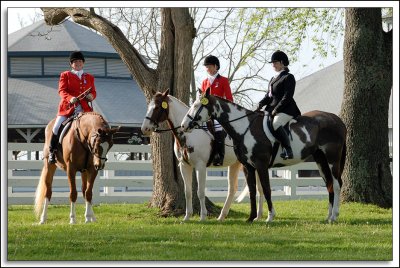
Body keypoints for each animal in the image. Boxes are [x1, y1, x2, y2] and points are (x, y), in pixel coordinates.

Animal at [141, 89, 266, 222]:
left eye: (157, 107)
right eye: (149, 106)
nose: (144, 128)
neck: (190, 134)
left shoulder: (200, 167)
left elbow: (200, 192)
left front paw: (202, 217)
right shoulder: (184, 166)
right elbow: (188, 192)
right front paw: (187, 217)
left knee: (260, 188)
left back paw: (258, 216)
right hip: (235, 164)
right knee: (232, 189)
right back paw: (222, 216)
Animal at [181, 88, 346, 222]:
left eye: (197, 106)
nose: (183, 126)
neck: (245, 128)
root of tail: (337, 120)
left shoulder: (261, 165)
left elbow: (266, 189)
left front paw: (270, 216)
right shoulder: (248, 167)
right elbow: (253, 190)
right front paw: (251, 218)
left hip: (332, 159)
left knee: (337, 184)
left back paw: (335, 216)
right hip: (321, 160)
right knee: (329, 185)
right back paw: (328, 216)